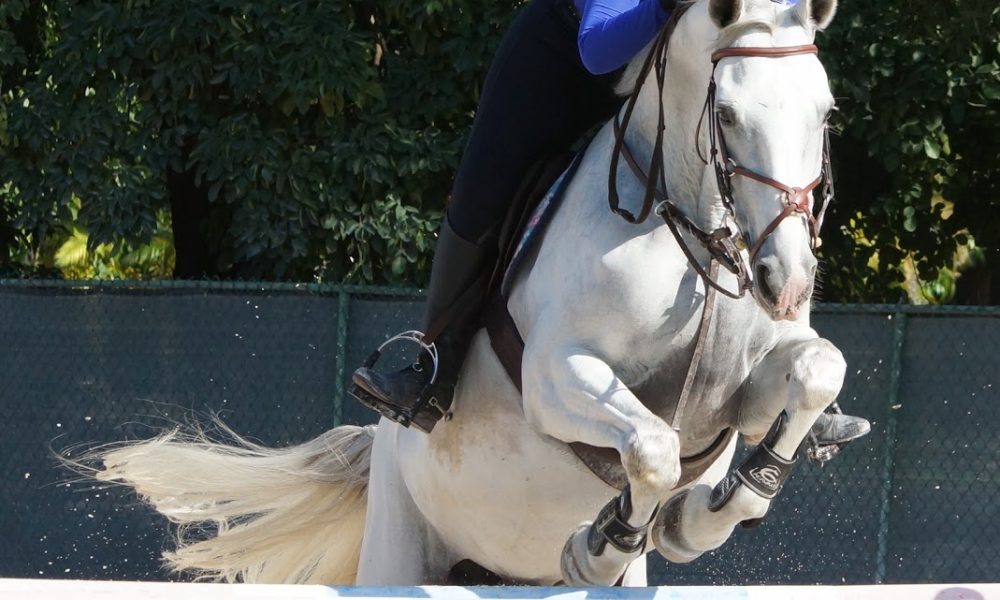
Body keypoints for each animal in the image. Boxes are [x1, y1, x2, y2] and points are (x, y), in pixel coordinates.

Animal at [89, 0, 845, 587]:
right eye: (730, 115)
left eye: (825, 113)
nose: (786, 281)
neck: (692, 225)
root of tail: (378, 451)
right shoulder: (554, 375)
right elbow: (652, 448)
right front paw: (600, 547)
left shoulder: (740, 396)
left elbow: (817, 370)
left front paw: (707, 514)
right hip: (399, 547)